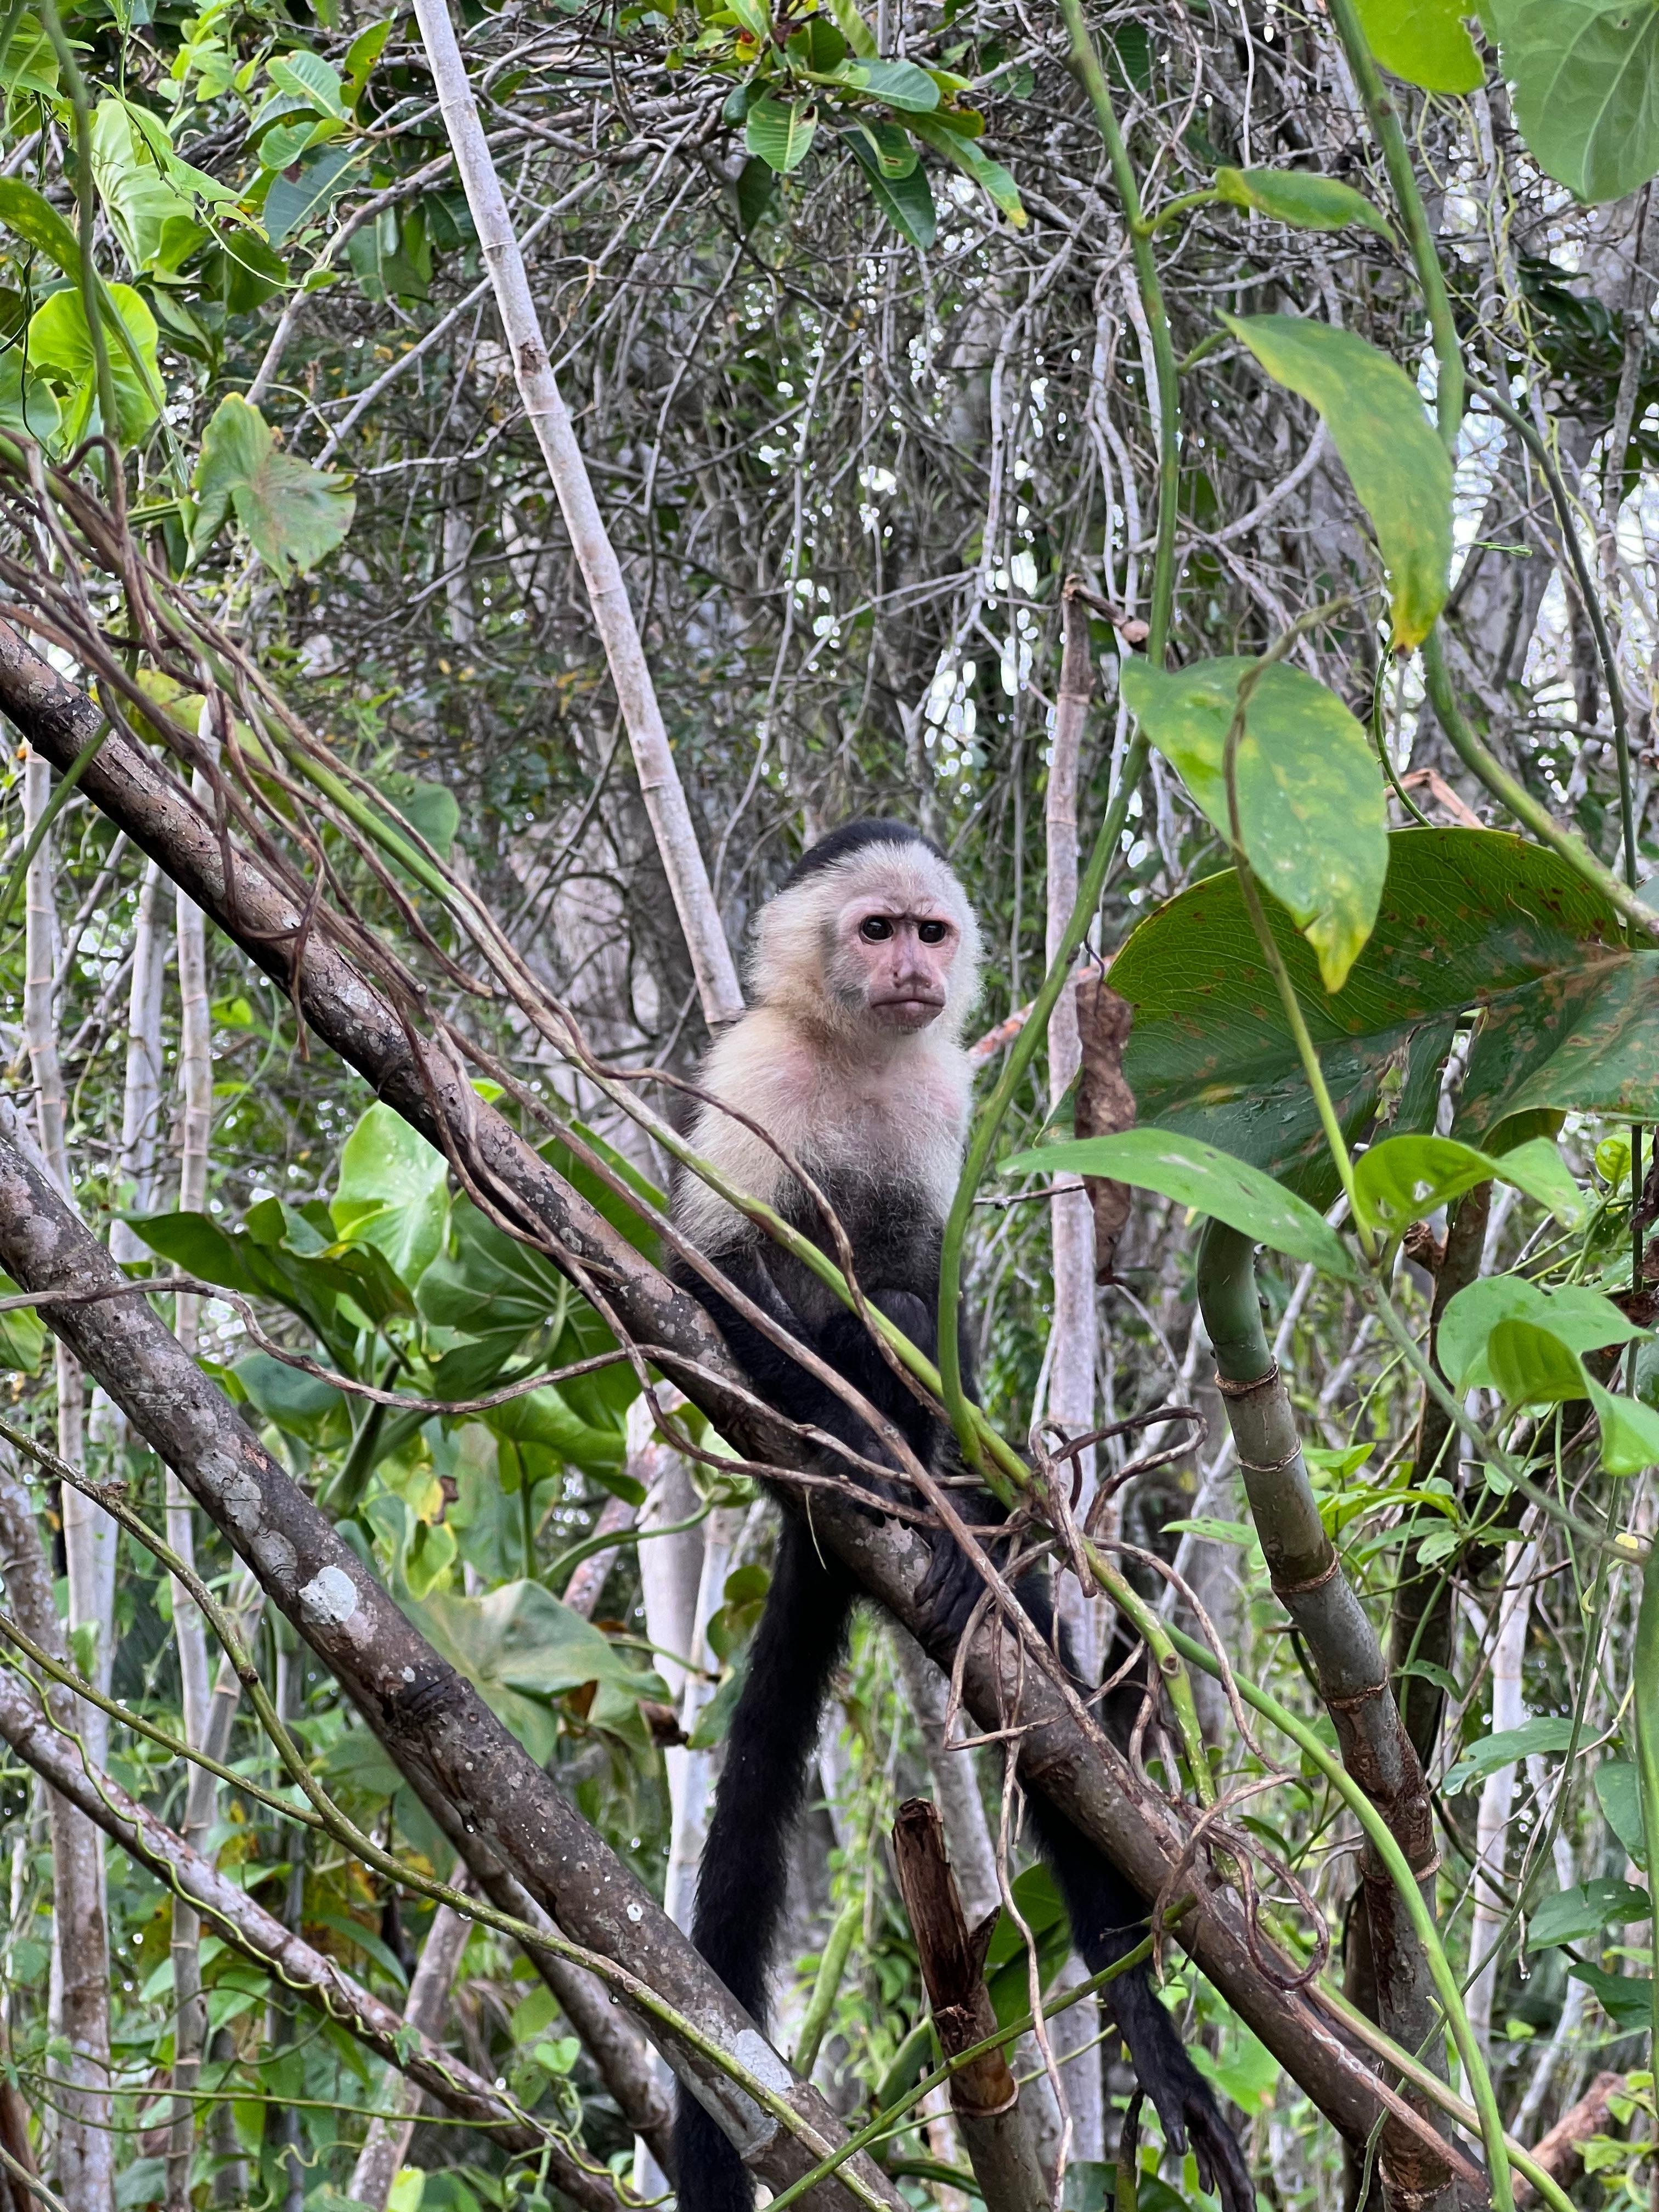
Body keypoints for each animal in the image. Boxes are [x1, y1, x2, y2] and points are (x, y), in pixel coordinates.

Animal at [667, 818, 1254, 2212]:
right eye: (876, 930)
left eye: (928, 934)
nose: (913, 972)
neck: (855, 1054)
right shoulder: (749, 1070)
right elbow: (714, 1273)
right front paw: (866, 1443)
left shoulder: (944, 1099)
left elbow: (946, 1317)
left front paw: (967, 1495)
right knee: (851, 1321)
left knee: (1037, 1688)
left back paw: (1134, 1999)